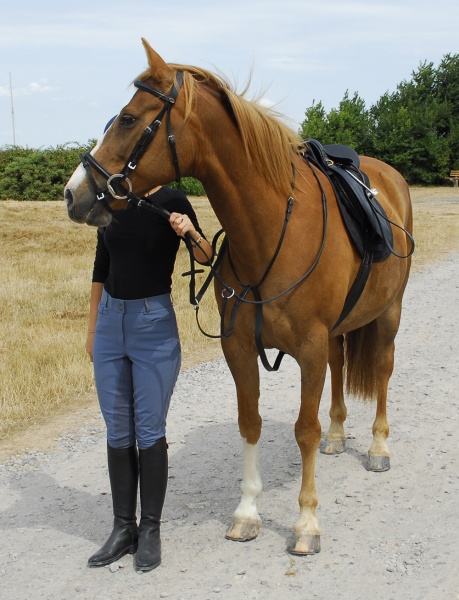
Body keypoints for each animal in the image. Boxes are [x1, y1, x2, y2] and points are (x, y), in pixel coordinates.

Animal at [64, 36, 414, 552]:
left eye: (127, 119)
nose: (74, 194)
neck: (272, 232)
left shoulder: (308, 348)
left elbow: (303, 430)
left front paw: (306, 522)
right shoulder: (240, 347)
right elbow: (250, 422)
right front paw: (247, 512)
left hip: (388, 314)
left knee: (384, 371)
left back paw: (378, 445)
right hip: (337, 332)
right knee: (340, 365)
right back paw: (337, 434)